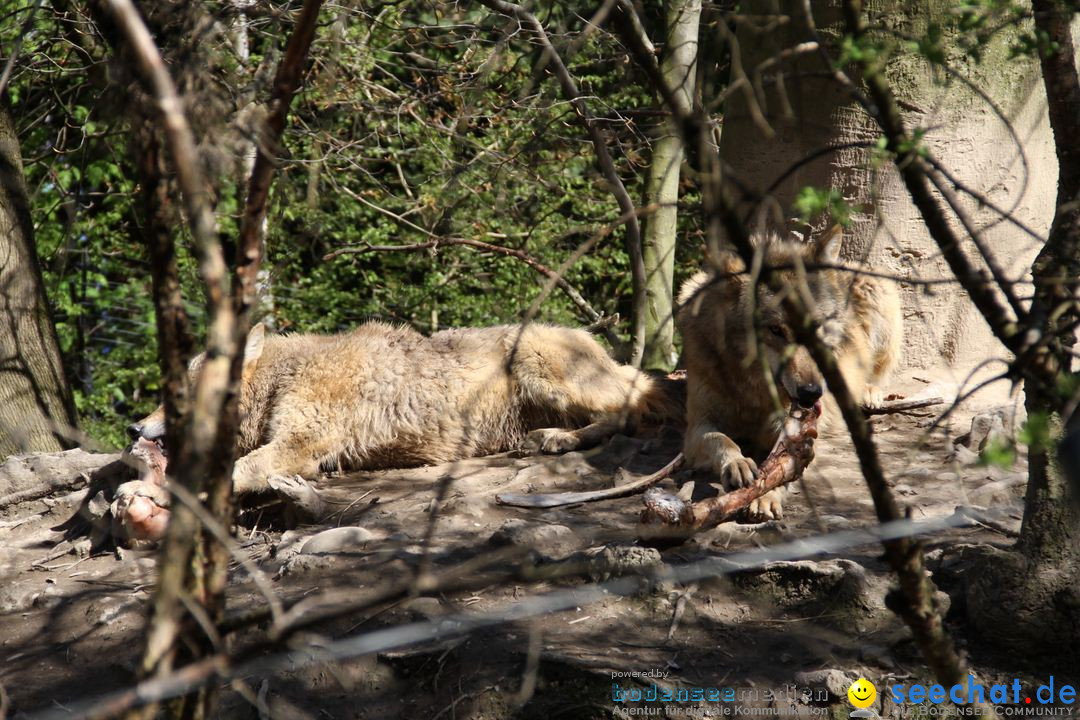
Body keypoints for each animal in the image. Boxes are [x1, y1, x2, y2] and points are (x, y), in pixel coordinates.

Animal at [126, 321, 665, 496]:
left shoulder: (303, 441)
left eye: (180, 391)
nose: (134, 425)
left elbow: (235, 470)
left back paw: (560, 439)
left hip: (539, 367)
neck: (284, 375)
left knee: (629, 411)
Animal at [678, 227, 898, 520]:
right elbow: (720, 440)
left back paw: (868, 392)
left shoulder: (797, 434)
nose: (813, 392)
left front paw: (766, 496)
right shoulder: (696, 427)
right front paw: (738, 463)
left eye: (815, 326)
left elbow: (784, 466)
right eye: (775, 330)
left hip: (880, 290)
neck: (754, 393)